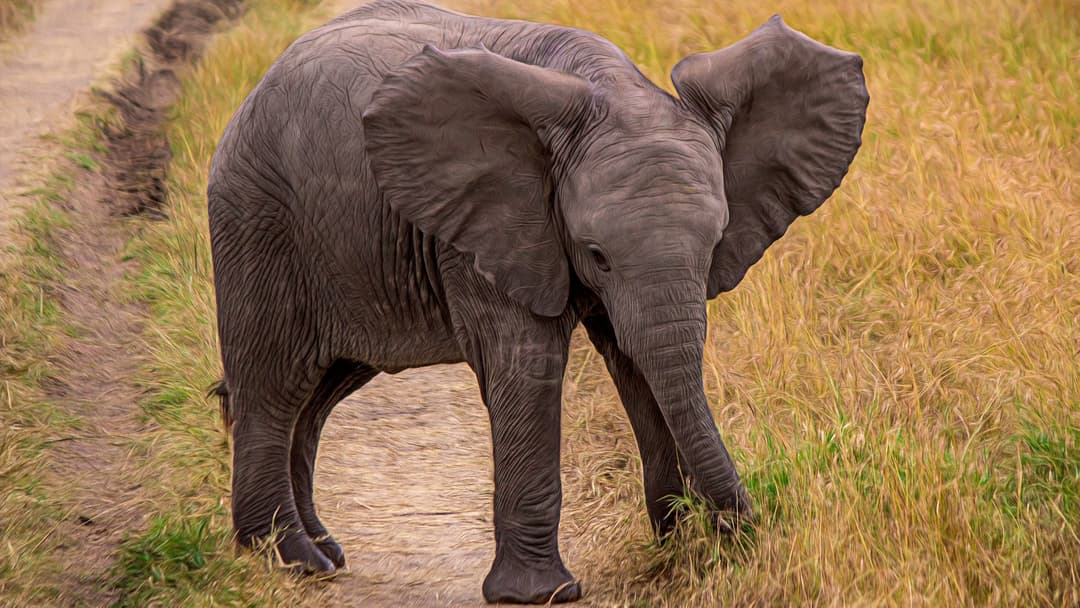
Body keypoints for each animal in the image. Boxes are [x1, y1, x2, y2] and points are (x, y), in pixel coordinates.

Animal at [207, 0, 868, 603]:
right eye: (597, 253)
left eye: (714, 245)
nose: (736, 532)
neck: (608, 88)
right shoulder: (491, 226)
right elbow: (528, 366)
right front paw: (542, 594)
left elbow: (637, 362)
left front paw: (677, 548)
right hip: (258, 215)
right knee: (272, 386)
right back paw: (287, 561)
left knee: (317, 396)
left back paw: (323, 554)